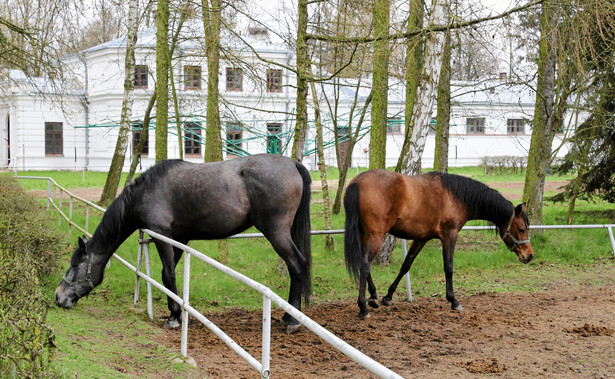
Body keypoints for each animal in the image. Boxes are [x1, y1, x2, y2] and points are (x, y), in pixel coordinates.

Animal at [344, 171, 532, 320]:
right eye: (522, 229)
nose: (529, 255)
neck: (455, 196)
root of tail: (357, 182)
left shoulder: (421, 238)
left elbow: (406, 265)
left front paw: (388, 297)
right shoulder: (450, 236)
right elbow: (448, 267)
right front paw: (454, 301)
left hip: (366, 236)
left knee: (364, 263)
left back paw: (374, 296)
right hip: (376, 236)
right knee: (365, 265)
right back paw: (363, 307)